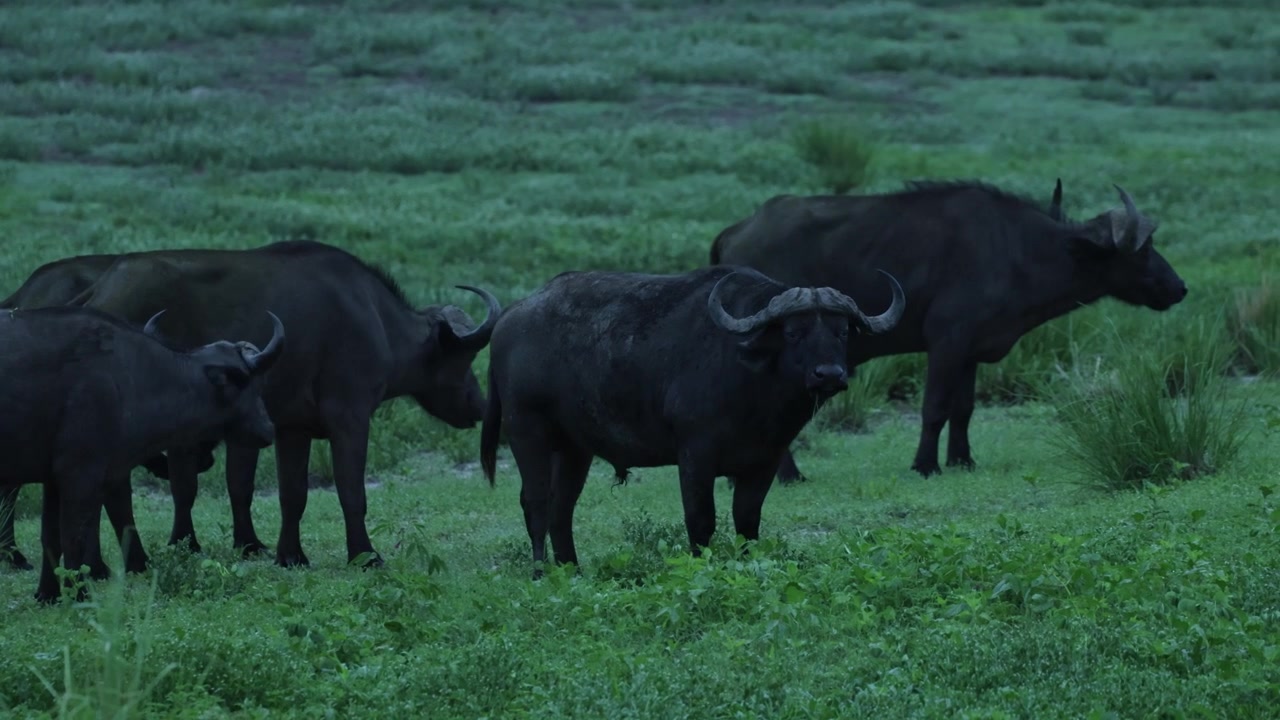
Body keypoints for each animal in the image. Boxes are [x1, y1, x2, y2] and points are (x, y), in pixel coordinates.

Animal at [0, 305, 284, 603]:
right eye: (253, 383)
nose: (268, 429)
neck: (127, 378)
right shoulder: (80, 474)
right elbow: (74, 536)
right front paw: (80, 595)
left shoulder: (54, 480)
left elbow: (51, 537)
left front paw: (47, 594)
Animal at [1, 240, 500, 570]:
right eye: (465, 357)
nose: (478, 405)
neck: (373, 317)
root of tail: (101, 288)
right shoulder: (351, 418)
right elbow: (350, 491)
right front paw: (364, 553)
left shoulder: (293, 429)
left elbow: (290, 493)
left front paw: (288, 553)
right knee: (112, 488)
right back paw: (127, 560)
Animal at [480, 265, 904, 574]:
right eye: (793, 332)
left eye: (842, 330)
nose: (829, 374)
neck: (751, 383)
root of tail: (508, 319)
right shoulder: (695, 458)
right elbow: (701, 521)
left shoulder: (764, 462)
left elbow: (747, 521)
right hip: (526, 431)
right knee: (535, 502)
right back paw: (540, 572)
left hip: (574, 450)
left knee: (561, 507)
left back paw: (573, 569)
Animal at [710, 180, 1188, 481]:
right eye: (1144, 249)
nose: (1179, 287)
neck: (1018, 250)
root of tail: (736, 230)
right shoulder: (946, 344)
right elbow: (935, 408)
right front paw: (926, 464)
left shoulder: (971, 352)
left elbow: (964, 409)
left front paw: (962, 460)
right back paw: (788, 474)